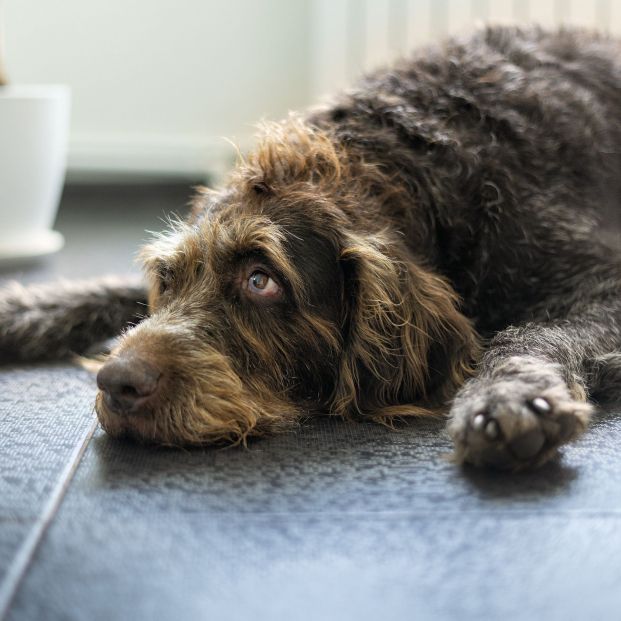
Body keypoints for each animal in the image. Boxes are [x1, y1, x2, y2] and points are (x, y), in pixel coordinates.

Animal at [1, 26, 620, 468]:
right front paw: (23, 308)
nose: (117, 381)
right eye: (168, 280)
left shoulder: (601, 281)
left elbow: (530, 332)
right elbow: (109, 289)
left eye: (261, 280)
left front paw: (509, 397)